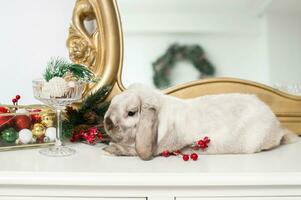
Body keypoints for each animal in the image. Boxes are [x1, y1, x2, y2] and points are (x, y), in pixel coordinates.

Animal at [103, 83, 298, 160]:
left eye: (131, 112)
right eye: (112, 102)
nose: (107, 122)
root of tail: (277, 127)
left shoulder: (160, 146)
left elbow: (131, 151)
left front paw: (109, 149)